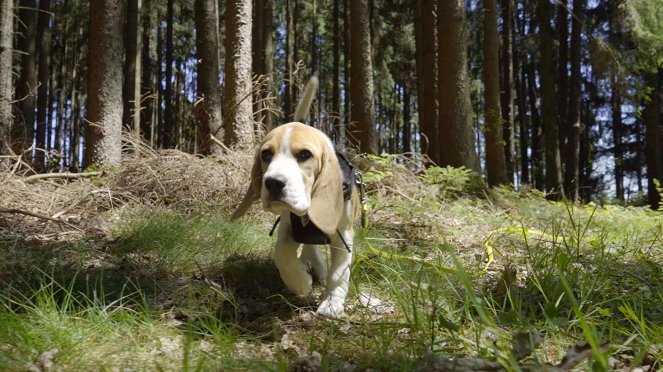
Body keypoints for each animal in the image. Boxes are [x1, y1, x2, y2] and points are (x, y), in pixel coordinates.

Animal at [232, 121, 360, 316]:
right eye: (266, 154)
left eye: (305, 154)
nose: (273, 183)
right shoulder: (287, 229)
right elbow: (281, 255)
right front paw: (301, 283)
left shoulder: (344, 236)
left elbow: (339, 274)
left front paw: (331, 304)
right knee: (310, 248)